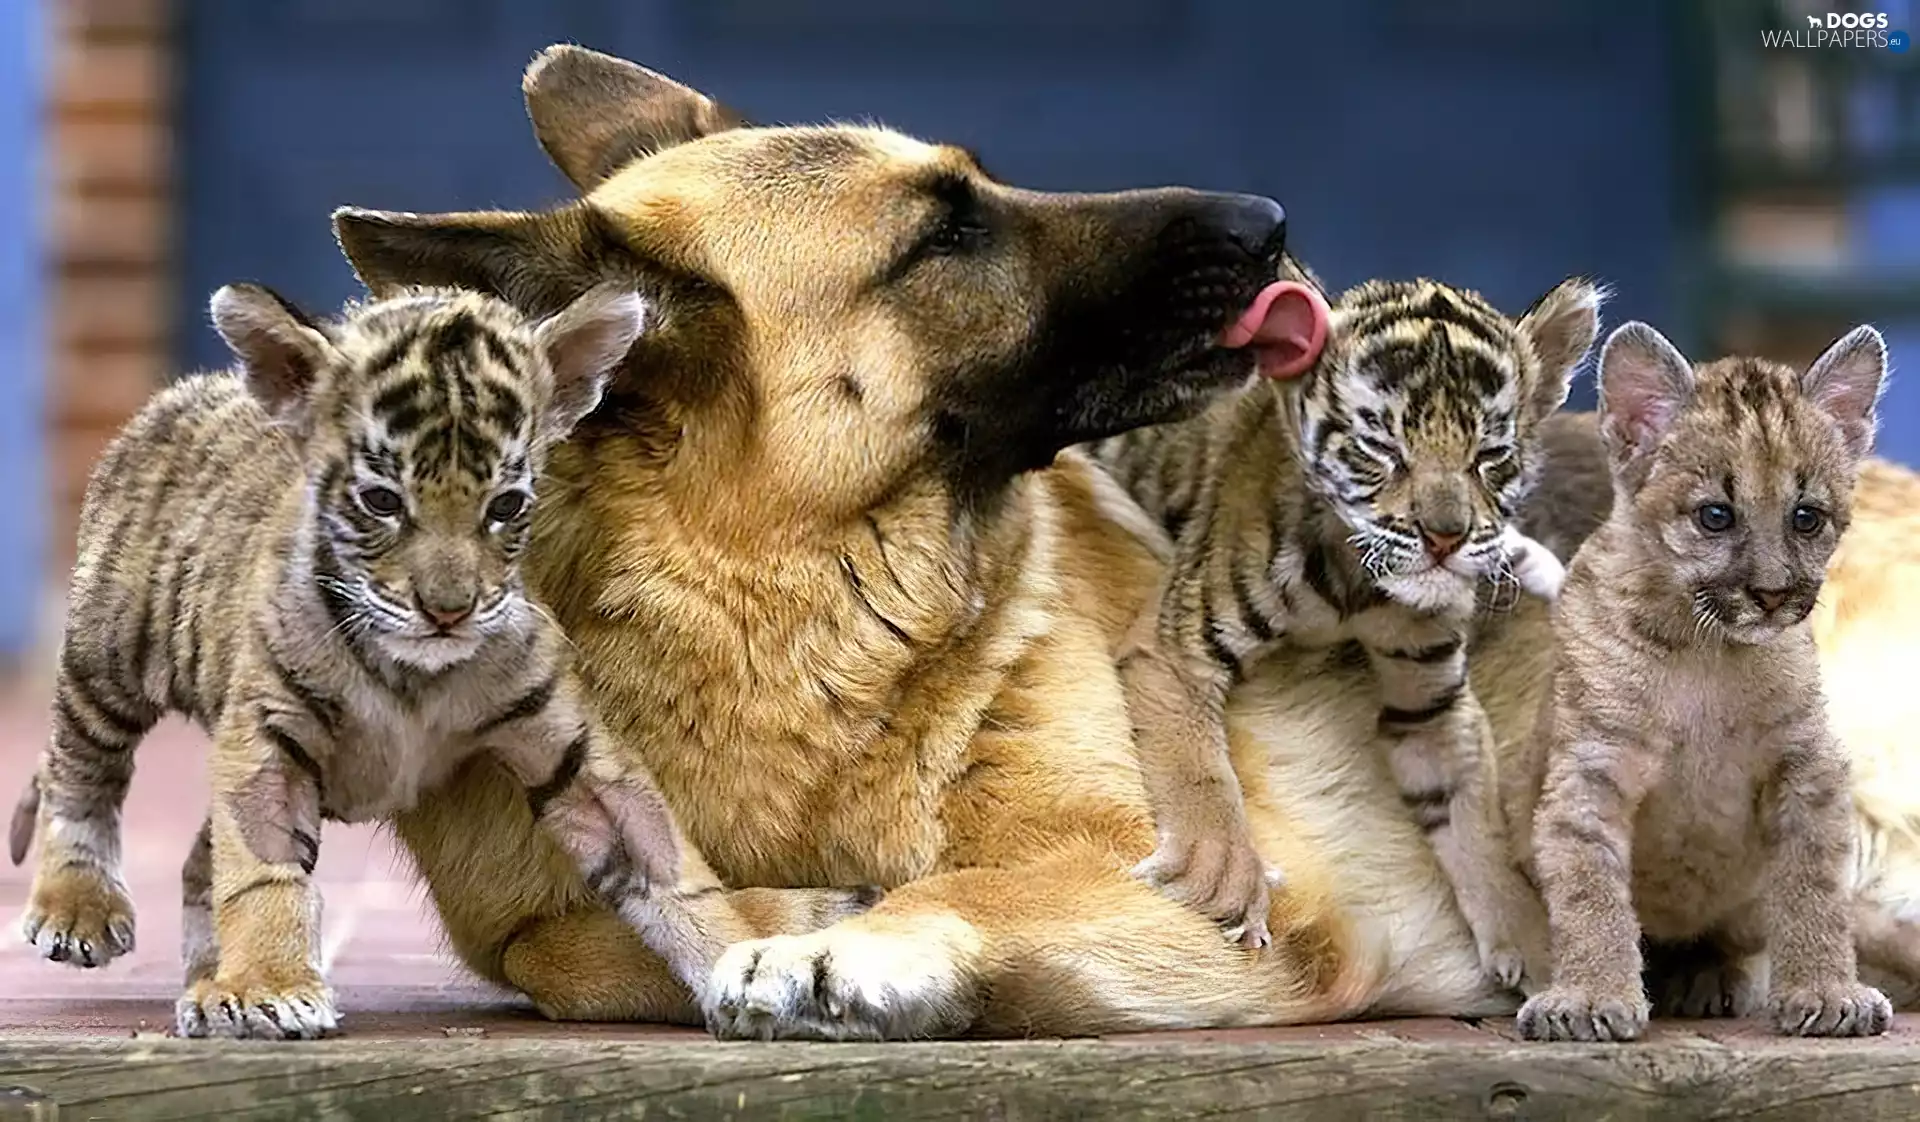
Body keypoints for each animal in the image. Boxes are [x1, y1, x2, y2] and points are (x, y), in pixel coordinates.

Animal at [9, 282, 872, 1039]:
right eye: (382, 502)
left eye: (508, 506)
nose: (449, 609)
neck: (415, 673)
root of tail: (193, 387)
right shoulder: (270, 736)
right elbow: (262, 875)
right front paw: (267, 990)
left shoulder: (568, 746)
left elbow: (670, 868)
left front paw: (745, 963)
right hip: (110, 652)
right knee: (81, 766)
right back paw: (79, 909)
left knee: (195, 854)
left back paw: (201, 974)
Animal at [1092, 268, 1601, 992]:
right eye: (1382, 449)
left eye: (1490, 456)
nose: (1445, 538)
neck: (1357, 585)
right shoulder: (1176, 646)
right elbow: (1199, 768)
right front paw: (1225, 880)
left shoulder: (1432, 703)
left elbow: (1472, 813)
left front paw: (1532, 943)